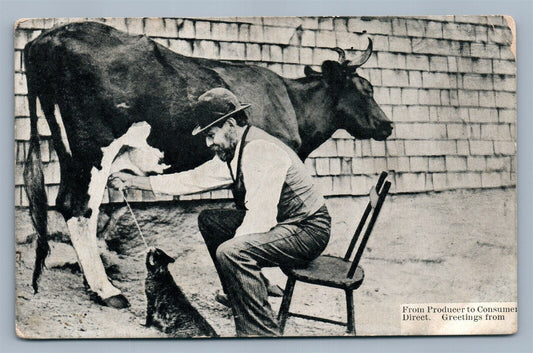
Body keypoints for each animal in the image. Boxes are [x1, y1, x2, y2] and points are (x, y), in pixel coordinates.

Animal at [21, 21, 390, 308]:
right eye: (365, 89)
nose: (388, 125)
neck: (291, 104)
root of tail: (45, 38)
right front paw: (262, 283)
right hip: (92, 149)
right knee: (79, 208)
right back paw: (106, 290)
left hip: (68, 152)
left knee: (65, 203)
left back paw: (90, 284)